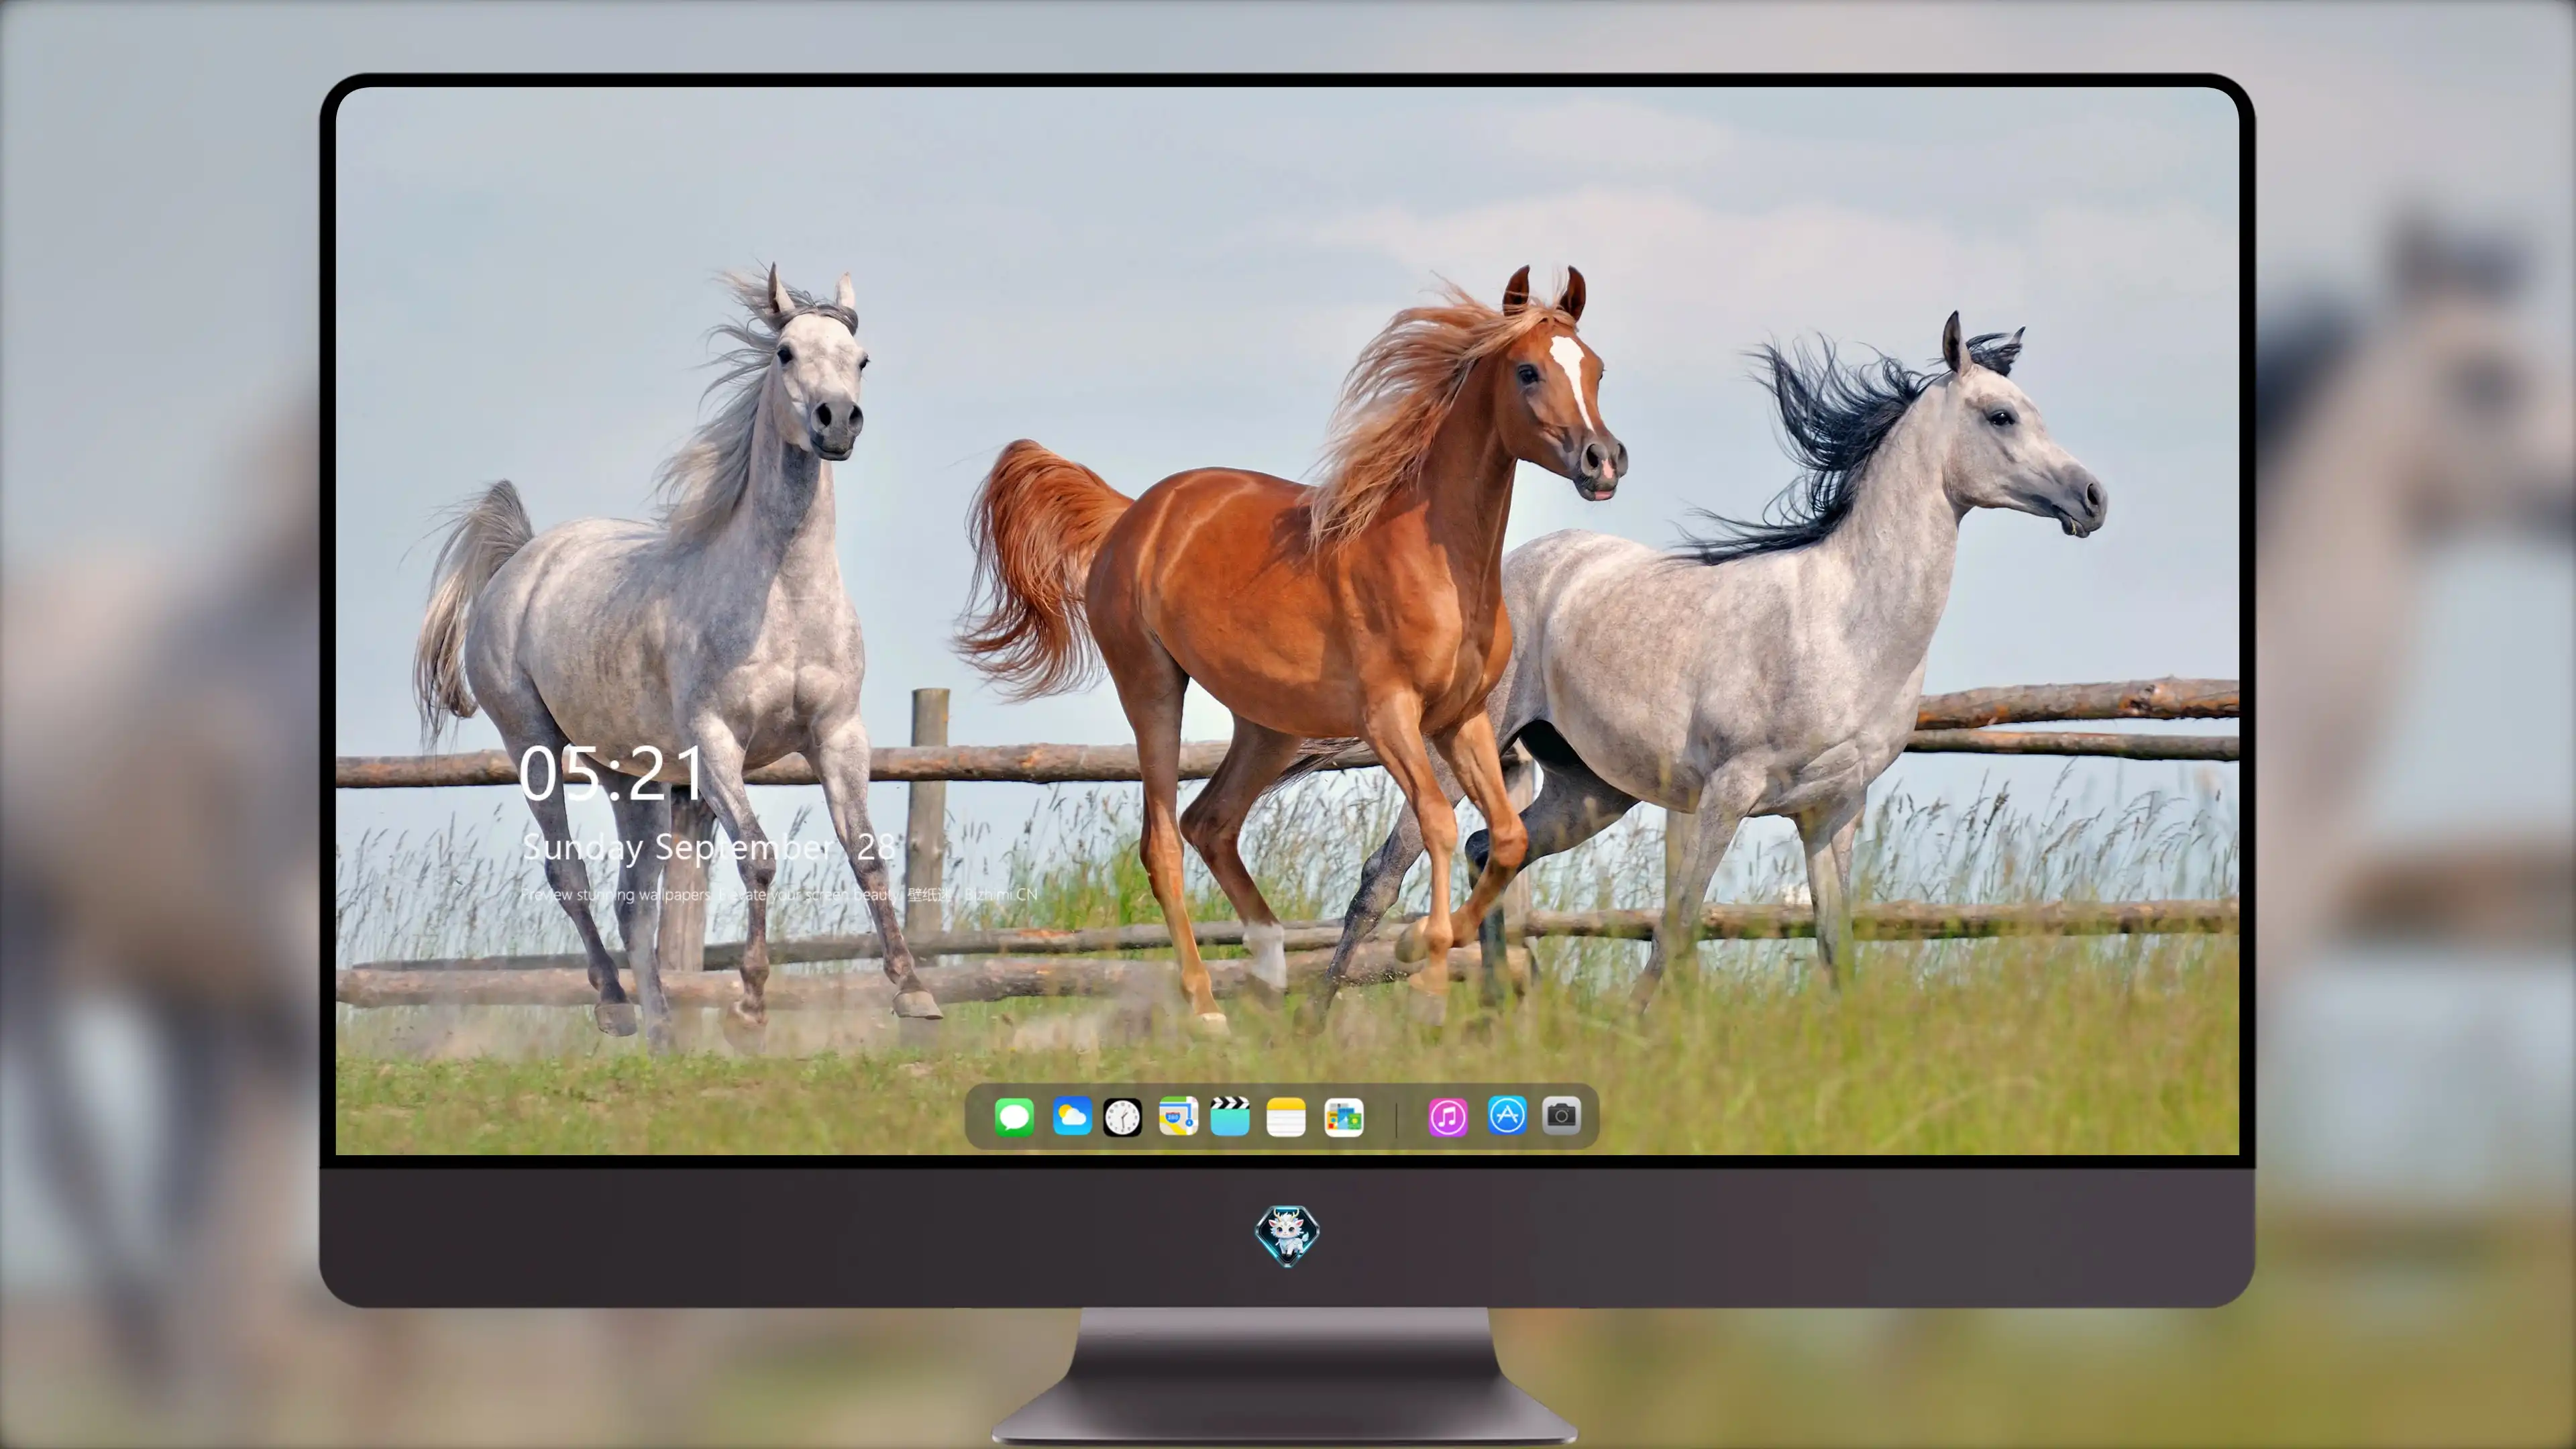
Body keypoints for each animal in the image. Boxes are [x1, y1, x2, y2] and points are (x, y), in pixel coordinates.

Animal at [412, 266, 940, 1051]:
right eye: (784, 351)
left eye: (862, 358)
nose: (836, 421)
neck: (780, 594)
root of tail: (523, 561)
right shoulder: (716, 743)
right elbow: (758, 856)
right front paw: (749, 1005)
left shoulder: (838, 734)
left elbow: (867, 853)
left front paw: (914, 993)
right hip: (533, 746)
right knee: (569, 876)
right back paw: (615, 1006)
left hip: (631, 777)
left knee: (636, 902)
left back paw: (663, 1029)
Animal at [954, 267, 1623, 1034]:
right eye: (1527, 371)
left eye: (1596, 368)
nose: (1604, 462)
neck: (1433, 558)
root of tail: (1132, 516)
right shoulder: (1390, 718)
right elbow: (1439, 823)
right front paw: (1425, 980)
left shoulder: (1463, 718)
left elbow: (1507, 837)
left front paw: (1414, 946)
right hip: (1152, 687)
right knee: (1163, 842)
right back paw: (1208, 1008)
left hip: (1270, 724)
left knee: (1210, 822)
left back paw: (1272, 973)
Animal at [1309, 312, 2106, 1017]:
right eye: (2001, 417)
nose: (2093, 498)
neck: (1844, 624)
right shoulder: (1728, 792)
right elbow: (1679, 926)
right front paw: (1639, 1031)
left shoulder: (1833, 812)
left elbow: (1835, 946)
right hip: (1459, 752)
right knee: (1383, 877)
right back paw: (1319, 1021)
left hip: (1589, 791)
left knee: (1490, 848)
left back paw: (1500, 1015)